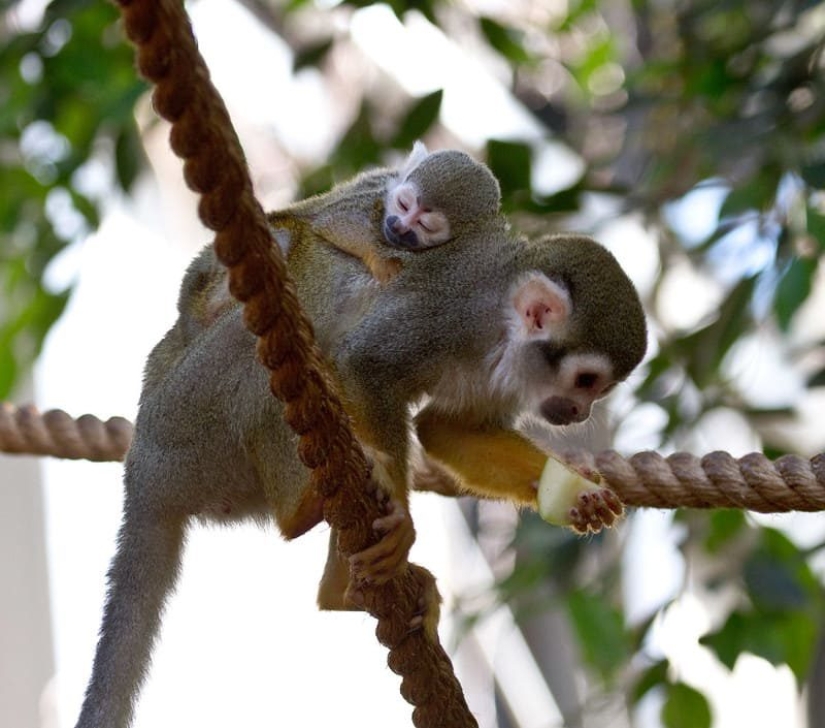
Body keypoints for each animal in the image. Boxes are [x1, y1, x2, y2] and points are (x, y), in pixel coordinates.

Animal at [74, 149, 648, 728]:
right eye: (586, 381)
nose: (579, 412)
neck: (499, 321)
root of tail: (142, 470)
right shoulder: (449, 307)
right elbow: (364, 365)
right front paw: (399, 518)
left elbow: (446, 429)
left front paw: (579, 491)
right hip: (186, 421)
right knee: (263, 341)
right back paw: (308, 516)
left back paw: (339, 583)